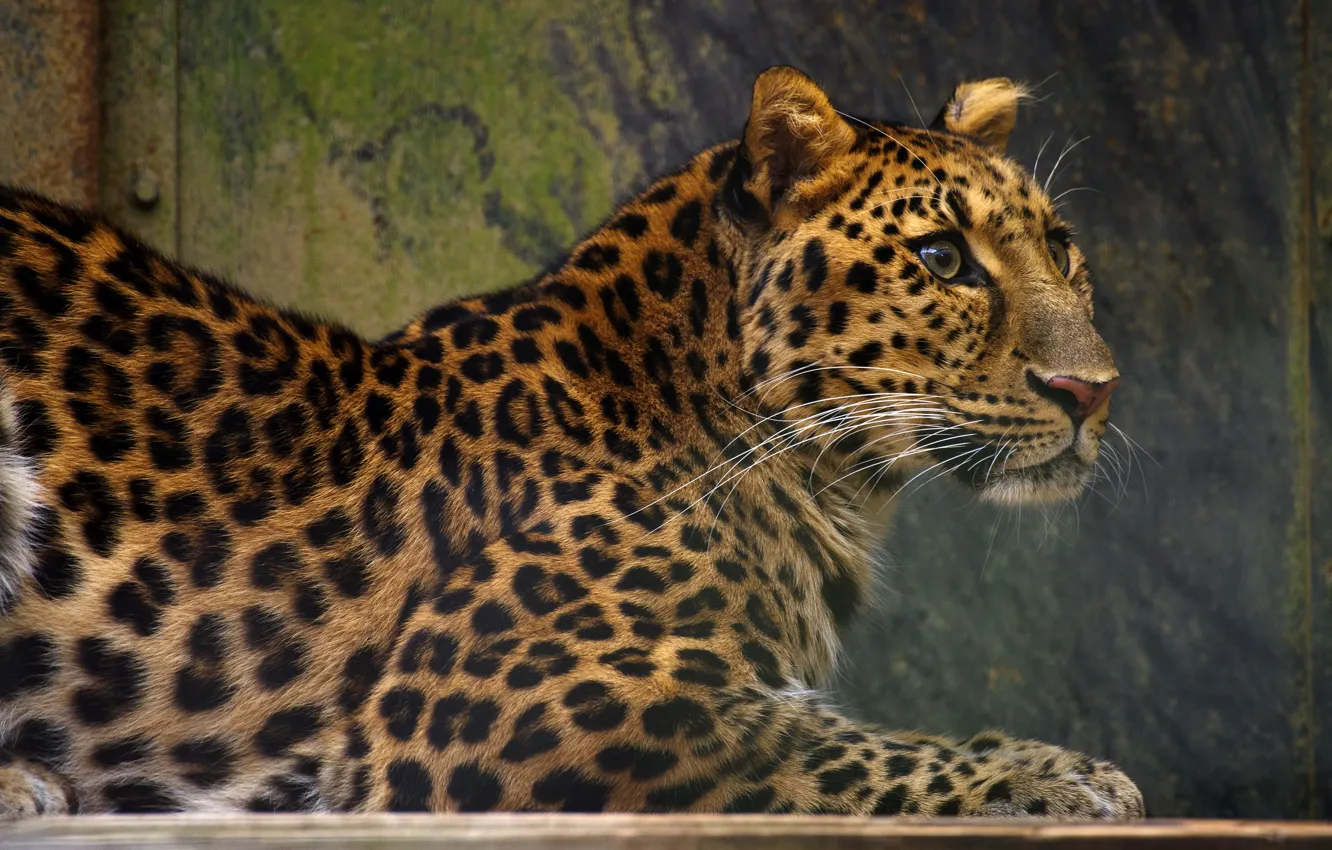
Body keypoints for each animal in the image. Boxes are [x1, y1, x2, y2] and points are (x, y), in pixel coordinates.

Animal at [0, 66, 1142, 820]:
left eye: (1062, 248)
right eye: (943, 258)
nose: (1092, 389)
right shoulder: (505, 698)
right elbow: (848, 748)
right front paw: (1057, 775)